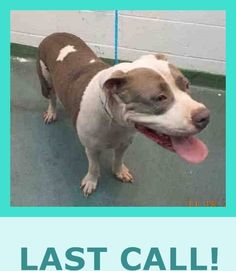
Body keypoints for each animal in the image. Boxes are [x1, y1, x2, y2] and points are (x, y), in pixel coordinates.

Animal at [36, 33, 209, 197]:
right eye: (160, 98)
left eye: (187, 84)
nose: (205, 117)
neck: (114, 122)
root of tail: (55, 34)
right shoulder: (91, 148)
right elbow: (94, 166)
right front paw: (91, 181)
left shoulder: (125, 142)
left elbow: (118, 159)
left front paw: (119, 172)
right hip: (45, 82)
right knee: (52, 97)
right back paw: (51, 112)